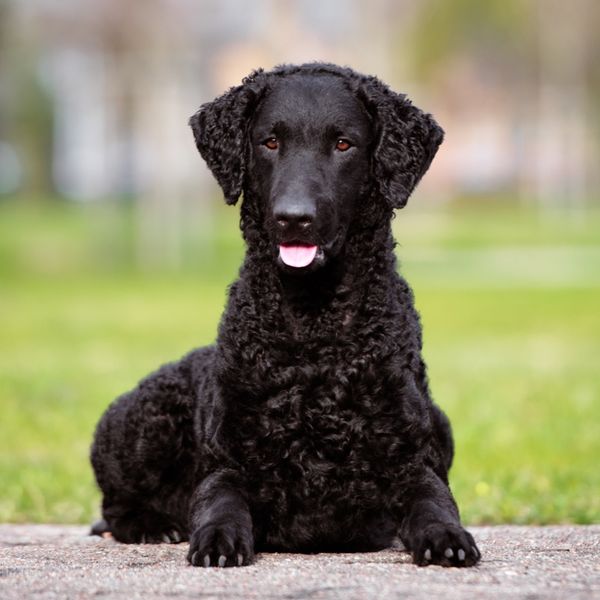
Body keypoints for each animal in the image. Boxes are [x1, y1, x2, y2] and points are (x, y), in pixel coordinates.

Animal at [90, 63, 482, 568]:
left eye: (343, 144)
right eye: (270, 142)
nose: (293, 217)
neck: (314, 329)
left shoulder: (411, 460)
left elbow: (434, 501)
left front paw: (446, 535)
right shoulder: (227, 463)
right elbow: (220, 501)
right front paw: (217, 539)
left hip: (442, 424)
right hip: (144, 422)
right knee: (113, 506)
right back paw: (153, 526)